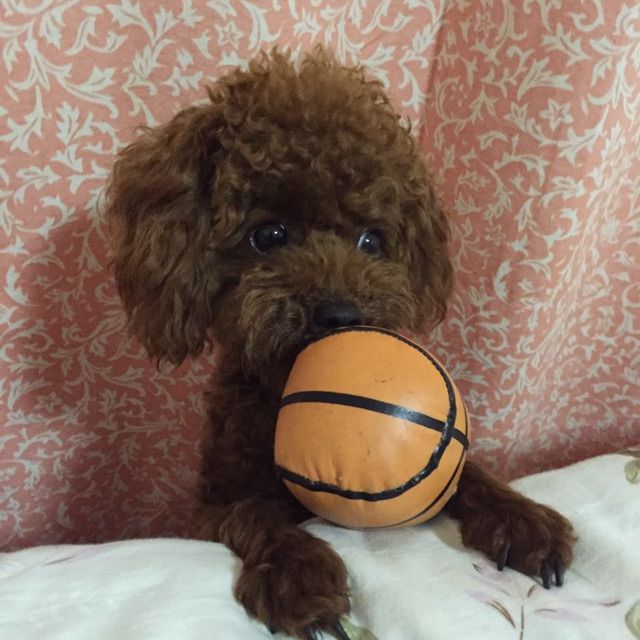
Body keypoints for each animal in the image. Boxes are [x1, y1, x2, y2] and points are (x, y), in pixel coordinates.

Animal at [105, 48, 575, 639]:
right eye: (268, 235)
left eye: (371, 240)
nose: (340, 314)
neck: (280, 390)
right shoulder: (212, 508)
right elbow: (255, 514)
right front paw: (298, 575)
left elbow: (466, 473)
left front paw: (522, 518)